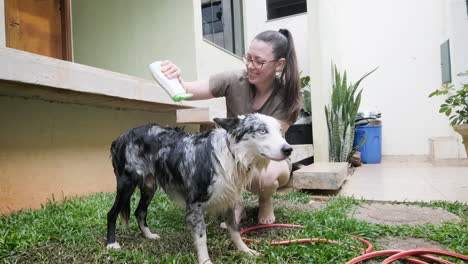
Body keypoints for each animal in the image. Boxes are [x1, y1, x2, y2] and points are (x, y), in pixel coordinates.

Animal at [105, 113, 292, 264]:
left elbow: (235, 231)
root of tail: (121, 137)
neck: (232, 155)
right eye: (262, 131)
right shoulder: (195, 205)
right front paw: (205, 261)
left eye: (280, 131)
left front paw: (245, 251)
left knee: (140, 212)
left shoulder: (228, 201)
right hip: (126, 185)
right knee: (112, 213)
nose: (289, 149)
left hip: (149, 187)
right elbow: (202, 238)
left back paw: (148, 235)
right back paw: (111, 243)